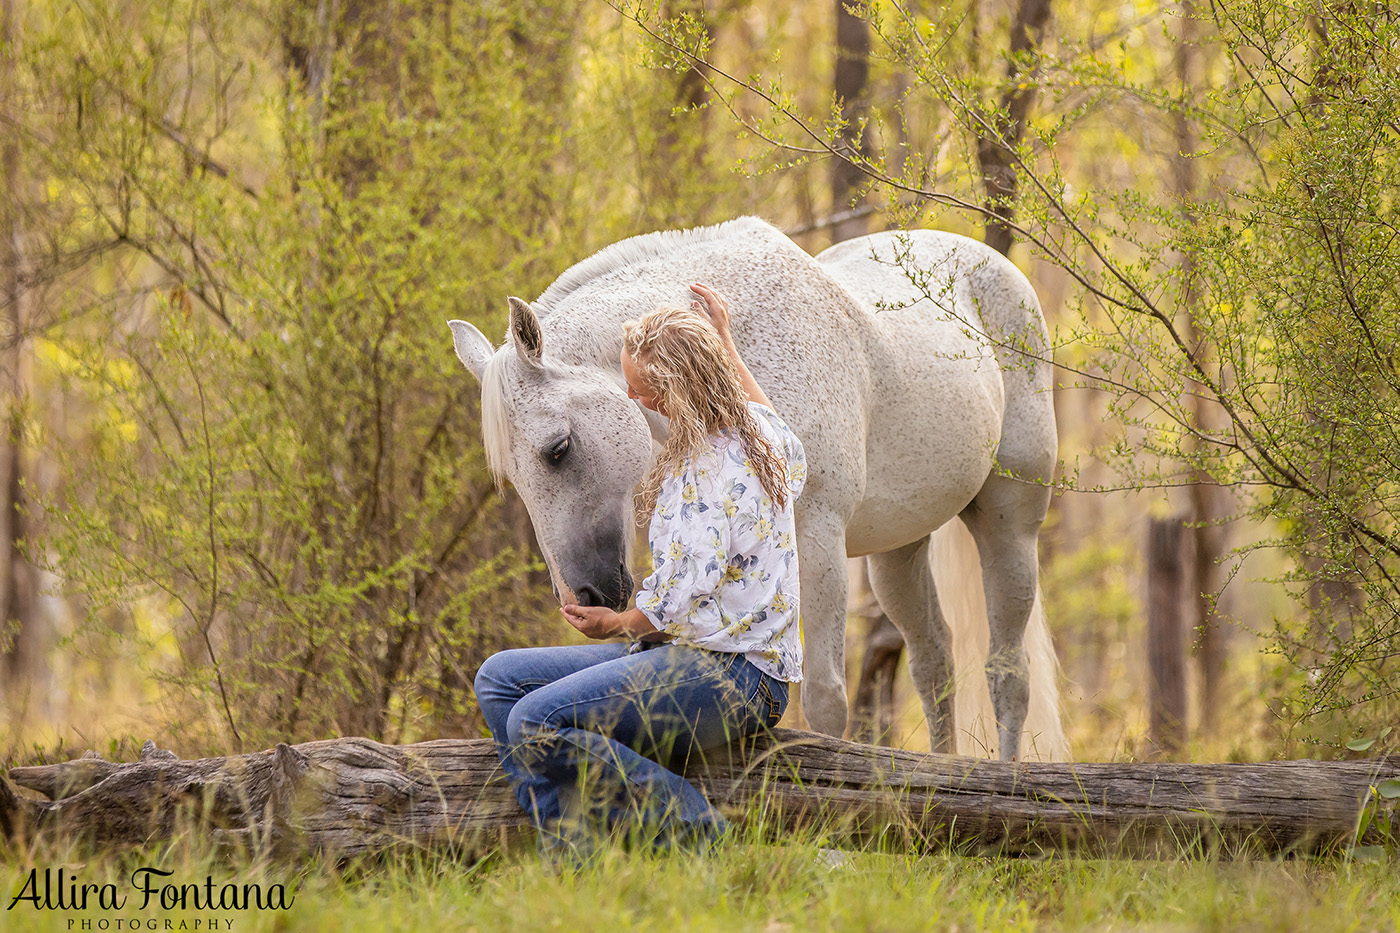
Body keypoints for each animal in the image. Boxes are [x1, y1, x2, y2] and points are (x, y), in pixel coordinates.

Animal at [453, 215, 1064, 756]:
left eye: (558, 449)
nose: (581, 599)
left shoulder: (818, 540)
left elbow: (824, 701)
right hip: (900, 550)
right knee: (934, 663)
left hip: (1009, 526)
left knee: (1009, 674)